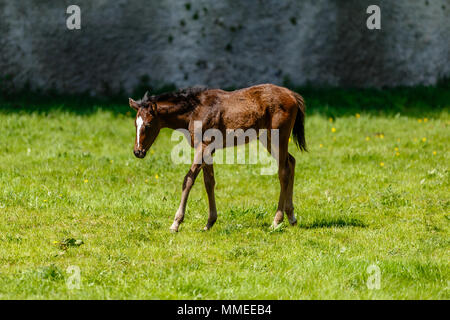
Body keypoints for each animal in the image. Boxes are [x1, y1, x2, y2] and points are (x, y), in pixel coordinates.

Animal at [128, 84, 308, 231]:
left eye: (148, 125)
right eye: (135, 124)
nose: (138, 152)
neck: (194, 111)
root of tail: (292, 94)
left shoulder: (204, 146)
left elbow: (188, 180)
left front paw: (176, 223)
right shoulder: (208, 151)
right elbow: (209, 182)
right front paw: (209, 222)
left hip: (279, 136)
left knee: (283, 171)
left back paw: (277, 221)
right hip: (267, 138)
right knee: (291, 162)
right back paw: (291, 217)